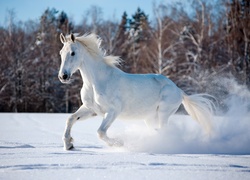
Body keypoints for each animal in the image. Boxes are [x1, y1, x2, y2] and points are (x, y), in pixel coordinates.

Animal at [58, 33, 215, 150]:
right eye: (61, 53)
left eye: (72, 53)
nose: (63, 76)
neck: (96, 82)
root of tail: (179, 90)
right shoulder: (92, 110)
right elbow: (70, 119)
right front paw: (69, 145)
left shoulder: (113, 111)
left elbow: (101, 132)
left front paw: (119, 143)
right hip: (149, 118)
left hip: (163, 113)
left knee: (163, 130)